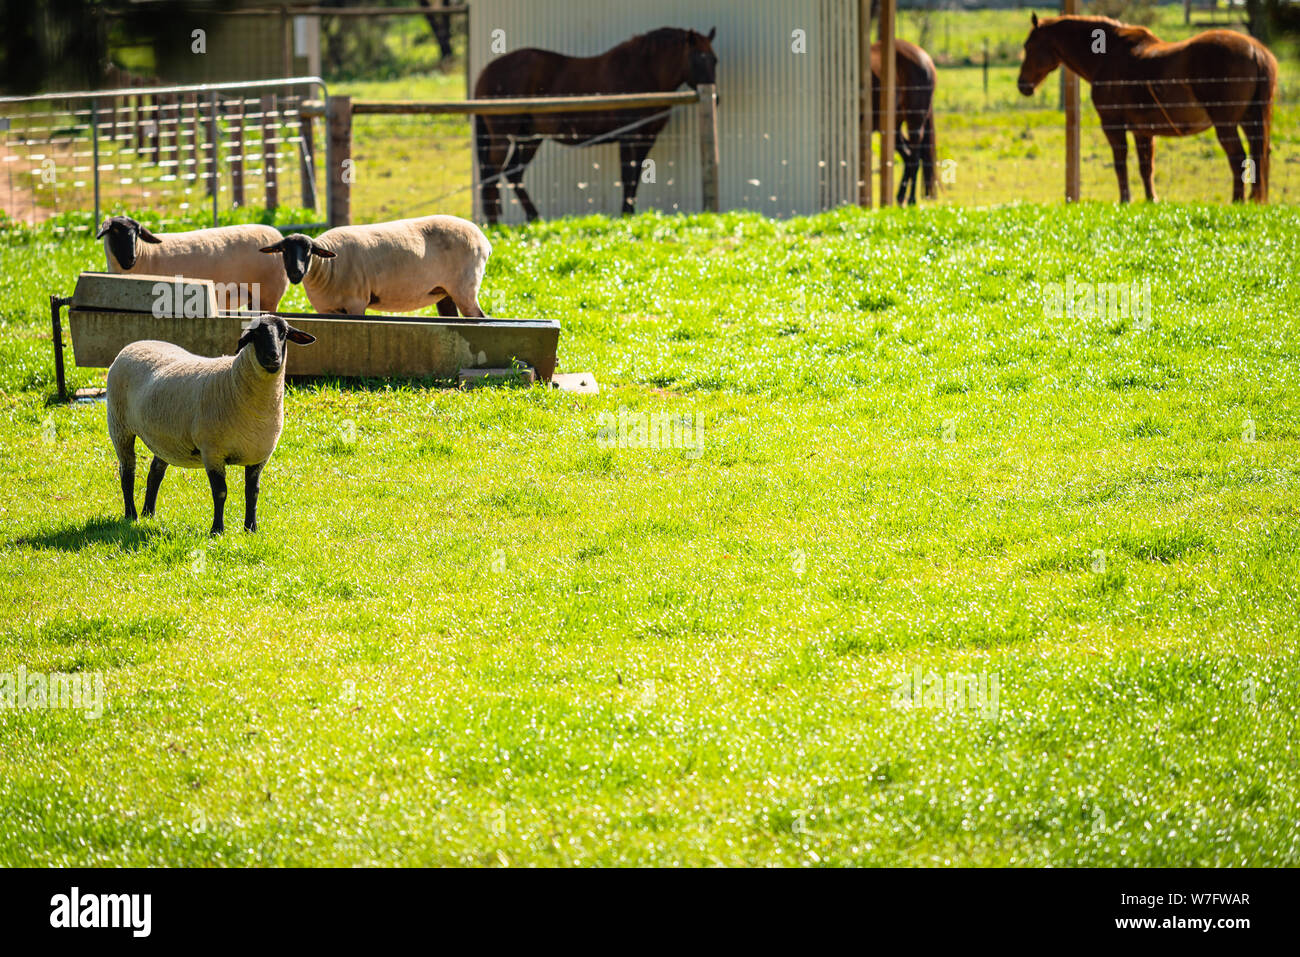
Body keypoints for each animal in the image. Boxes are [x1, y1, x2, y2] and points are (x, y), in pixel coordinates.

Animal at [97, 215, 290, 312]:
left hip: (269, 295)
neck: (146, 254)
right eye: (114, 231)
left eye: (137, 233)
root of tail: (278, 237)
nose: (131, 258)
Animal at [105, 315, 316, 535]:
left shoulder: (258, 456)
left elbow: (253, 492)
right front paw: (217, 530)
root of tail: (135, 343)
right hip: (119, 426)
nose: (273, 357)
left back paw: (149, 513)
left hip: (165, 439)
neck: (233, 381)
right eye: (255, 334)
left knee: (155, 472)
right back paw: (132, 514)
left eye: (284, 333)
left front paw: (251, 529)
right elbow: (220, 492)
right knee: (127, 471)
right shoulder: (213, 452)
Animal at [258, 214, 490, 318]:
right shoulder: (326, 308)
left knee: (477, 317)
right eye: (283, 251)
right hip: (444, 291)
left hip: (465, 287)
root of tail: (484, 241)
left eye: (308, 251)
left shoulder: (356, 303)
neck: (326, 267)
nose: (295, 272)